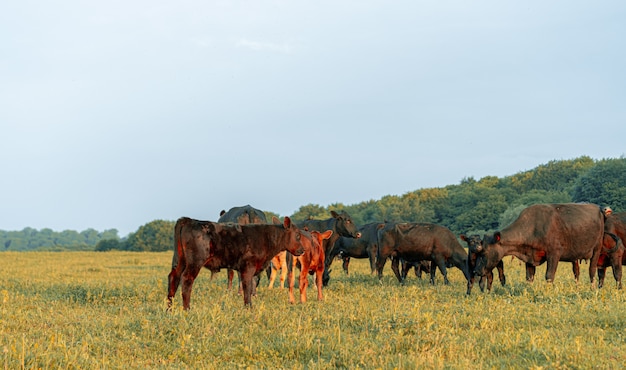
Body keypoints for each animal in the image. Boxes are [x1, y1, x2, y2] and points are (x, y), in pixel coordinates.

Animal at [165, 215, 304, 308]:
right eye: (297, 235)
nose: (302, 250)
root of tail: (190, 220)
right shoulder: (248, 268)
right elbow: (247, 289)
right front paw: (249, 308)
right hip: (195, 262)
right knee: (186, 279)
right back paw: (187, 309)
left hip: (180, 260)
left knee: (174, 277)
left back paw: (169, 309)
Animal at [472, 204, 604, 284]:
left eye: (484, 252)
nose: (475, 271)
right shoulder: (529, 256)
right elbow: (529, 277)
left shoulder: (554, 253)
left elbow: (549, 275)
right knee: (577, 272)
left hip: (597, 249)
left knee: (592, 271)